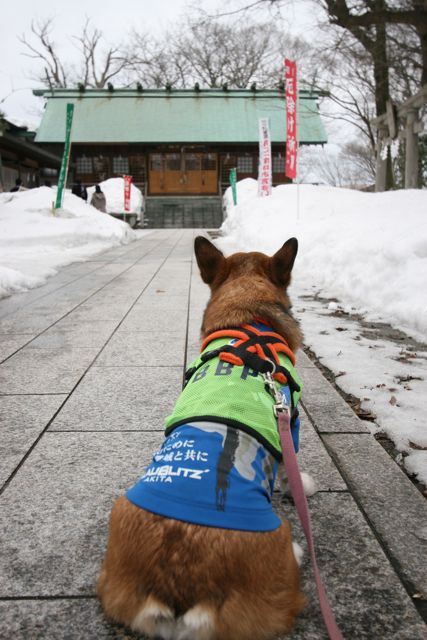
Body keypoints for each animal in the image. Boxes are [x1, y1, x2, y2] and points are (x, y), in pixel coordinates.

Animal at [98, 238, 306, 640]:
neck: (247, 316)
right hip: (278, 548)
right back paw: (299, 552)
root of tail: (179, 584)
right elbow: (293, 469)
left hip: (120, 515)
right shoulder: (290, 420)